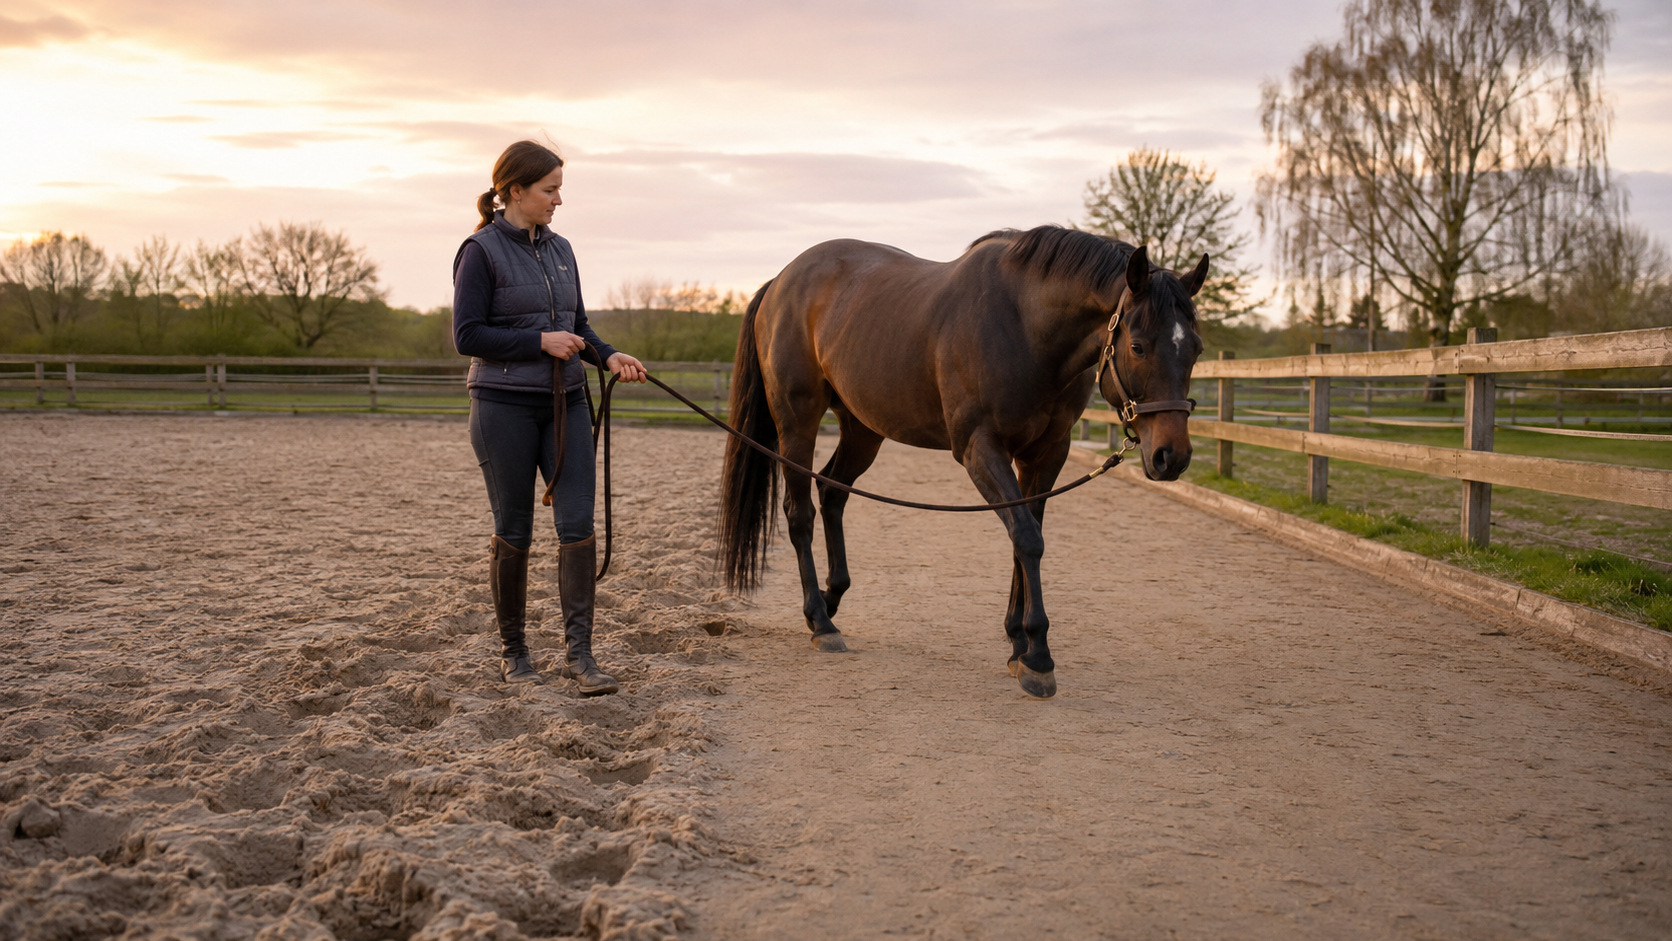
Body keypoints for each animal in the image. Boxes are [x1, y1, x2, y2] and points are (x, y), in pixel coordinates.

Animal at [718, 225, 1207, 698]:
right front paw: (1038, 657)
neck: (1025, 328)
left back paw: (832, 599)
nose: (1172, 457)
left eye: (1197, 349)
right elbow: (1027, 539)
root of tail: (781, 281)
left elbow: (1025, 535)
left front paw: (1017, 642)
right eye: (1139, 346)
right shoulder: (979, 449)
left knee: (833, 491)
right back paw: (821, 621)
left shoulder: (1047, 454)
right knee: (800, 513)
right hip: (796, 424)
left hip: (863, 428)